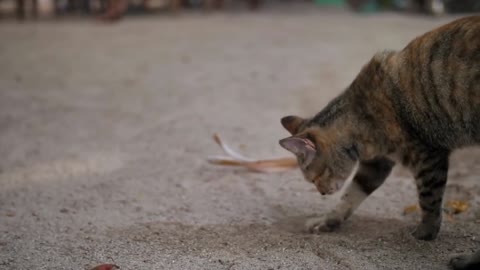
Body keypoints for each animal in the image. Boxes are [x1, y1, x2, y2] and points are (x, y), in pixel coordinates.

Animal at [278, 15, 480, 270]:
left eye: (314, 178)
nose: (322, 193)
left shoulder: (427, 156)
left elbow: (429, 200)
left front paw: (425, 233)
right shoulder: (376, 164)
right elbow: (350, 196)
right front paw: (328, 220)